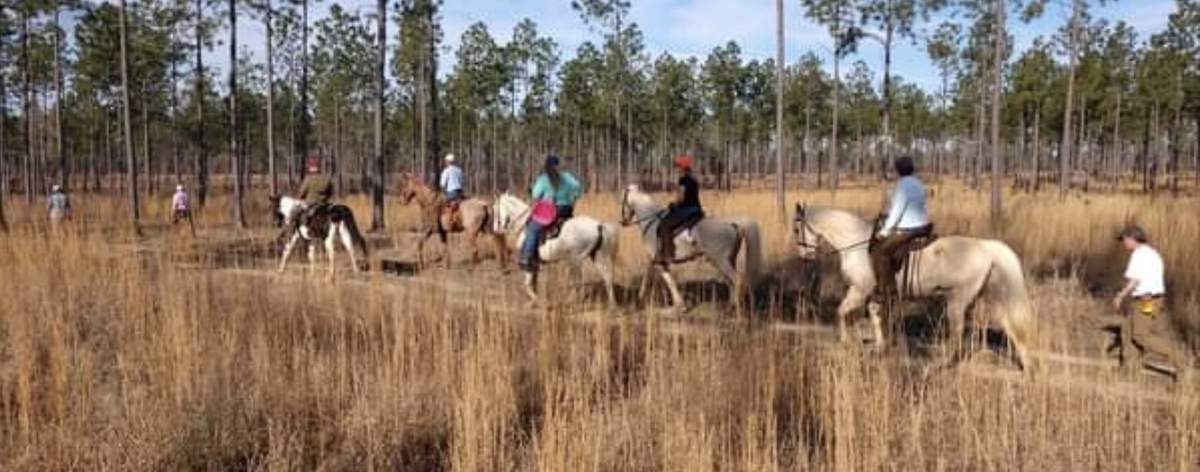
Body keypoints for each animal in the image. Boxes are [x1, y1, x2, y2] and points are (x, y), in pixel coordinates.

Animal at [489, 192, 619, 305]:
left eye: (495, 209)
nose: (495, 229)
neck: (524, 226)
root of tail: (599, 225)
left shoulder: (528, 262)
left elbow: (527, 284)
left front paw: (537, 299)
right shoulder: (535, 263)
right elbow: (533, 282)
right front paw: (533, 301)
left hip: (575, 260)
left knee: (579, 282)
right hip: (597, 255)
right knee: (607, 277)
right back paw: (612, 304)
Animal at [619, 183, 758, 312]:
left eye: (623, 201)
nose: (623, 221)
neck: (651, 222)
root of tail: (733, 225)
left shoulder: (659, 261)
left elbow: (668, 280)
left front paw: (679, 305)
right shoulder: (654, 260)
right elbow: (650, 276)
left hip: (720, 261)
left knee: (737, 279)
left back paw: (736, 308)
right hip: (726, 261)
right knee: (730, 282)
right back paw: (730, 305)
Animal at [792, 201, 1036, 367]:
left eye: (796, 229)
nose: (805, 256)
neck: (857, 245)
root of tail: (987, 247)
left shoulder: (859, 290)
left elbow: (841, 312)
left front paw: (846, 342)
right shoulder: (872, 295)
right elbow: (875, 317)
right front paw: (880, 347)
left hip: (958, 300)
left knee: (958, 330)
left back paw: (944, 362)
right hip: (988, 296)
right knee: (1009, 324)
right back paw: (1024, 361)